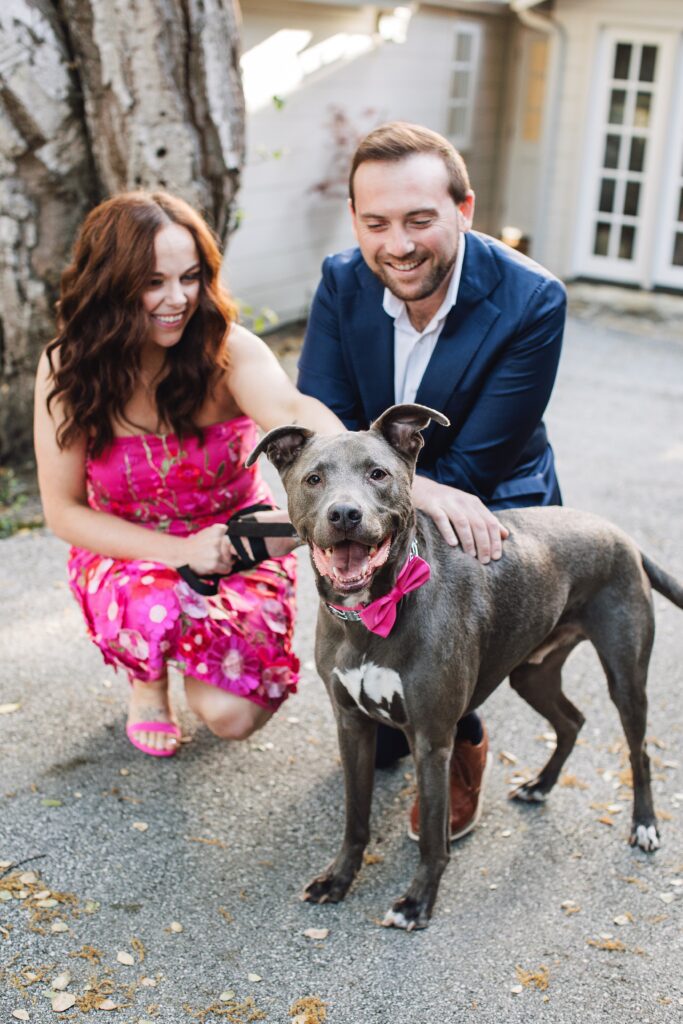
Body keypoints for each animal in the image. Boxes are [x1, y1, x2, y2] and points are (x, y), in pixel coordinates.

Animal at [246, 405, 683, 929]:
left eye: (378, 475)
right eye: (314, 478)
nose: (345, 513)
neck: (374, 613)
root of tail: (622, 537)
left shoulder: (432, 739)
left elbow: (435, 837)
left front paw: (417, 902)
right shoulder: (351, 726)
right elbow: (355, 819)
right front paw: (338, 879)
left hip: (625, 676)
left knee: (638, 750)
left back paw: (645, 825)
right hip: (531, 673)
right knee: (572, 721)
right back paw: (540, 785)